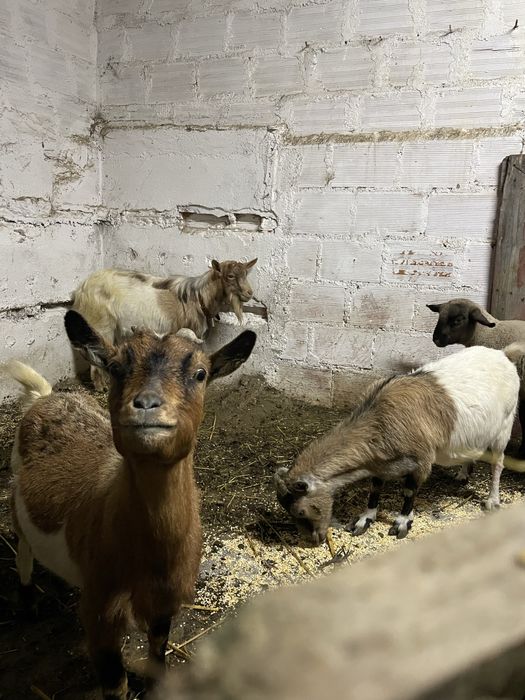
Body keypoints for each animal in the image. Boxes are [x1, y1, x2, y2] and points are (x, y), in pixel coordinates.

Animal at [8, 310, 256, 699]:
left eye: (200, 373)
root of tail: (45, 397)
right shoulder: (100, 612)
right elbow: (115, 684)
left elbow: (158, 650)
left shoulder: (165, 602)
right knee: (22, 548)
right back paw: (29, 599)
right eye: (114, 367)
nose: (147, 405)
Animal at [72, 258, 257, 391]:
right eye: (230, 276)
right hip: (100, 323)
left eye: (245, 275)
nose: (249, 293)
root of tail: (80, 290)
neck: (198, 297)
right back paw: (101, 387)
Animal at [275, 346, 519, 544]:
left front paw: (402, 523)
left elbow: (409, 491)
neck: (380, 418)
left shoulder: (421, 460)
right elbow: (375, 487)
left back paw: (492, 501)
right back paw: (462, 474)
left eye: (300, 511)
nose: (314, 540)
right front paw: (364, 519)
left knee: (498, 463)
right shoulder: (380, 463)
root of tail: (503, 355)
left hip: (504, 427)